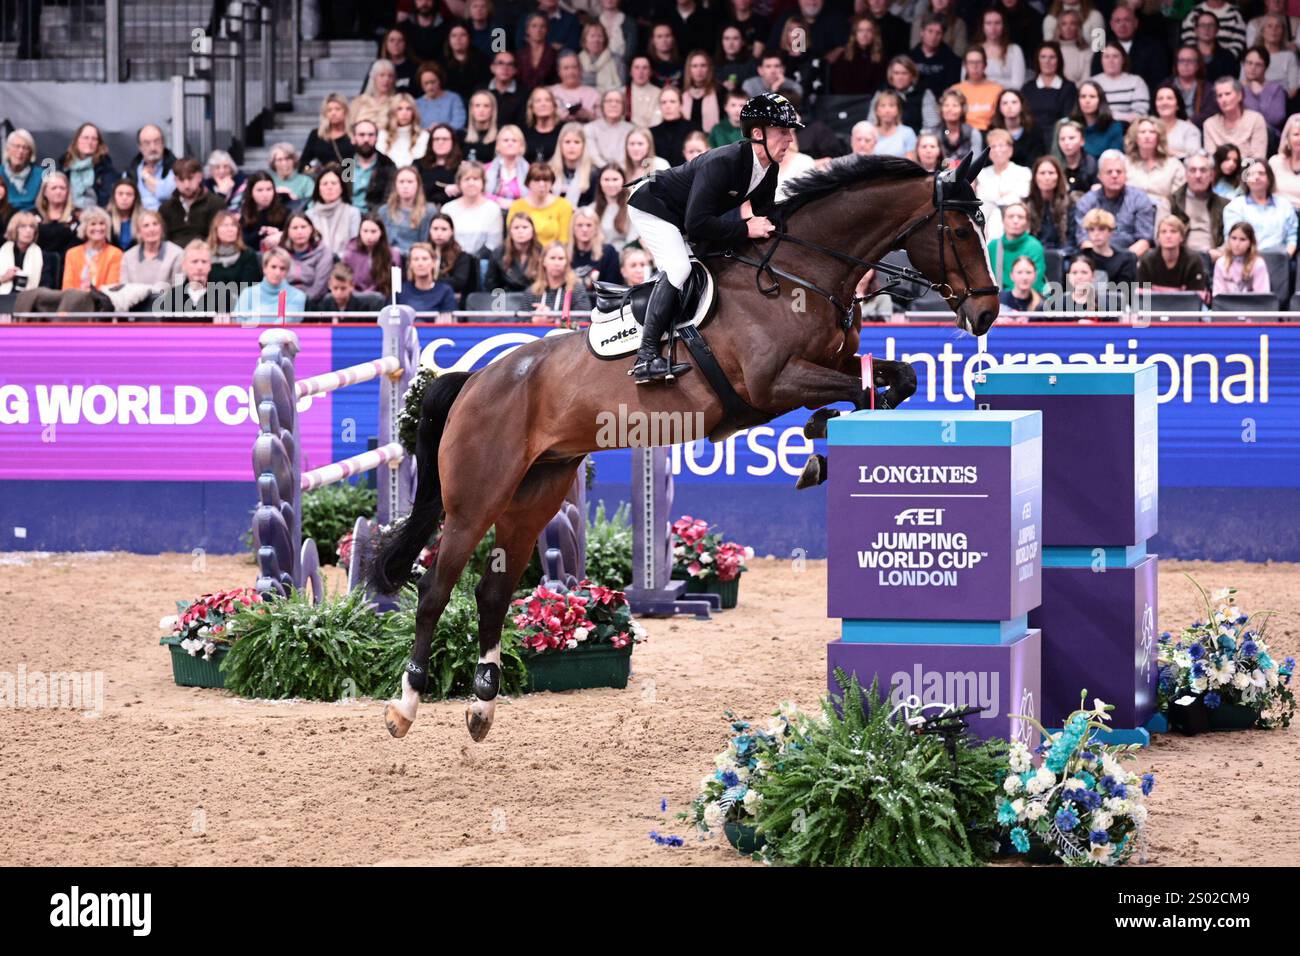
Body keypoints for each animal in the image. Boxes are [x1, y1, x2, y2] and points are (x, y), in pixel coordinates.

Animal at [371, 153, 998, 743]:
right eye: (960, 230)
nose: (986, 312)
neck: (803, 274)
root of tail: (474, 381)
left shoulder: (831, 367)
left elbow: (895, 381)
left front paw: (819, 443)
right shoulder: (774, 383)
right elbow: (863, 389)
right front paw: (815, 445)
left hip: (536, 492)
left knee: (493, 590)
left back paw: (482, 705)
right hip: (477, 499)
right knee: (435, 587)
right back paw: (405, 706)